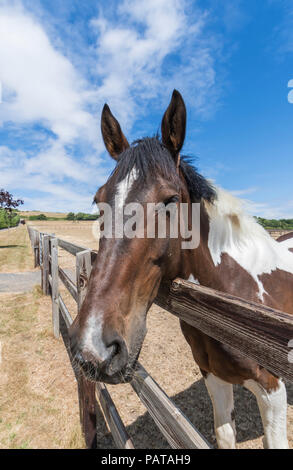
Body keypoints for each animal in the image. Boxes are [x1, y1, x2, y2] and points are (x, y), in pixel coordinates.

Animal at [69, 91, 292, 448]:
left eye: (171, 200)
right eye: (98, 200)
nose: (93, 349)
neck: (234, 309)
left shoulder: (273, 390)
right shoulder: (214, 376)